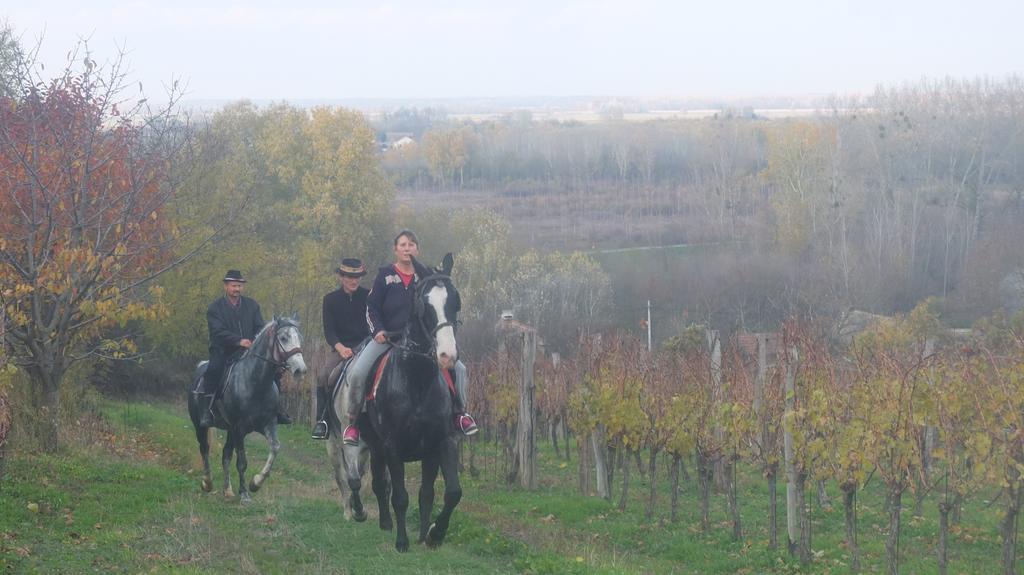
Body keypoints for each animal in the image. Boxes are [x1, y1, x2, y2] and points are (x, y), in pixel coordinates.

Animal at [188, 313, 305, 501]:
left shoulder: (267, 424)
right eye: (283, 338)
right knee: (204, 449)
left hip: (229, 430)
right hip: (200, 425)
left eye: (299, 338)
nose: (300, 370)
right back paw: (207, 482)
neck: (255, 382)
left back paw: (227, 489)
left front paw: (255, 483)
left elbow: (275, 448)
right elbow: (242, 462)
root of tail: (200, 368)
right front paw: (244, 493)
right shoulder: (239, 429)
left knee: (226, 455)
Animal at [356, 252, 460, 548]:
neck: (417, 379)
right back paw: (385, 524)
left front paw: (432, 534)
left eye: (455, 301)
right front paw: (402, 542)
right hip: (375, 444)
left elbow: (444, 493)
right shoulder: (392, 446)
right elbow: (400, 496)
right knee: (381, 484)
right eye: (425, 305)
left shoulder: (440, 443)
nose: (448, 356)